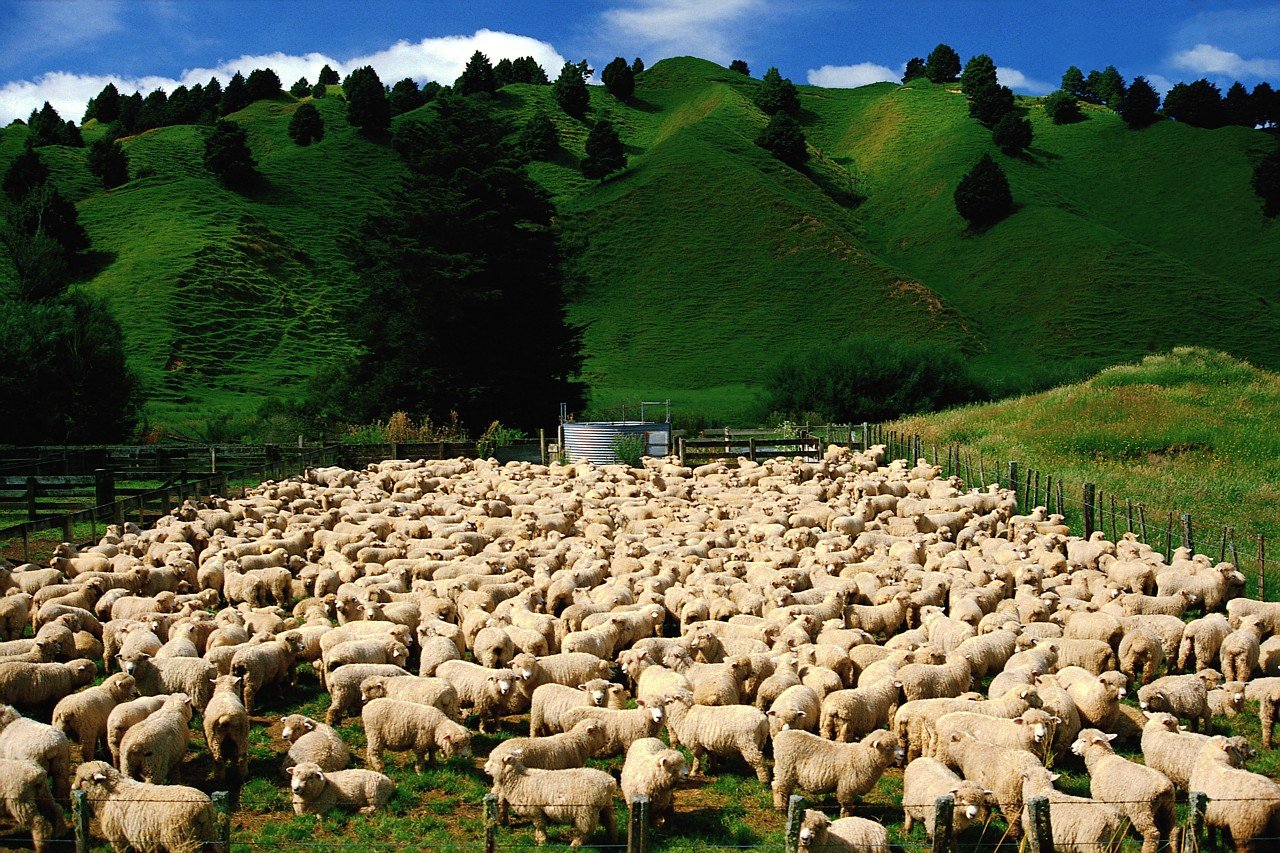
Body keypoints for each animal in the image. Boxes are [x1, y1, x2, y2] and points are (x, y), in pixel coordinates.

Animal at [73, 758, 215, 850]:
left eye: (84, 779)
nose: (73, 788)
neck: (109, 793)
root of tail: (203, 807)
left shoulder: (118, 837)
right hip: (208, 835)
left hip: (181, 840)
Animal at [768, 727, 901, 814]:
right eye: (888, 746)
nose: (902, 754)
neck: (861, 756)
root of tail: (781, 734)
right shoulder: (847, 787)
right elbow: (847, 806)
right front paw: (846, 817)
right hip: (784, 768)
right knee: (778, 787)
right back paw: (780, 808)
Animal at [1075, 722, 1172, 850]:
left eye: (1084, 740)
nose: (1072, 748)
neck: (1101, 760)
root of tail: (1164, 787)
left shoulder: (1099, 797)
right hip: (1167, 807)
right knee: (1173, 830)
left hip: (1141, 809)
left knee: (1152, 833)